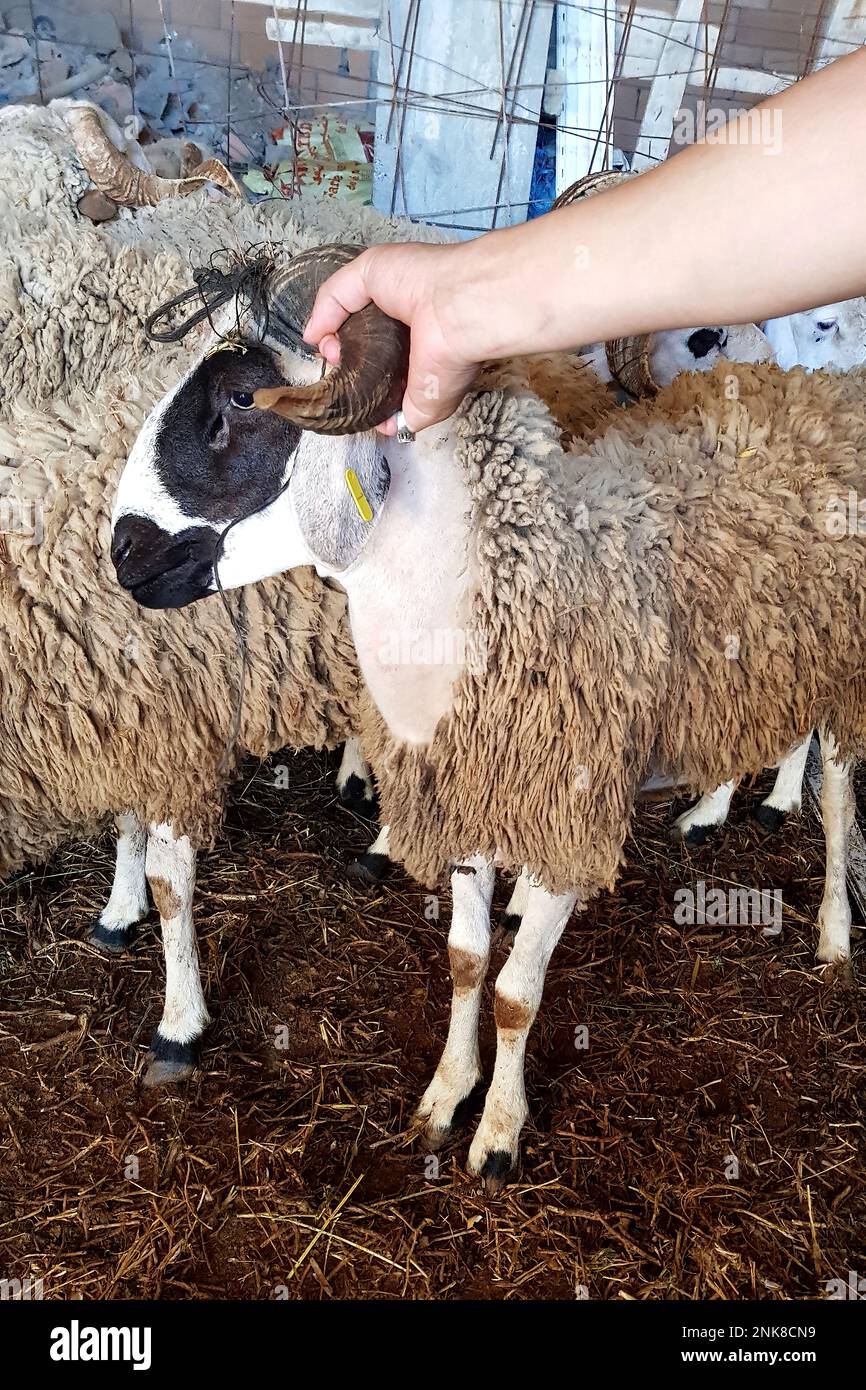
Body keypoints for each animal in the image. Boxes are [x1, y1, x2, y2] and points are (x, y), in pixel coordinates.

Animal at [113, 244, 866, 1178]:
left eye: (242, 403)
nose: (119, 552)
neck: (513, 573)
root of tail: (815, 390)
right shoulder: (470, 788)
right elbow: (467, 961)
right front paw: (446, 1096)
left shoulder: (565, 816)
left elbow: (515, 994)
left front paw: (499, 1135)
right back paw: (717, 808)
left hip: (846, 669)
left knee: (839, 796)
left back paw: (832, 931)